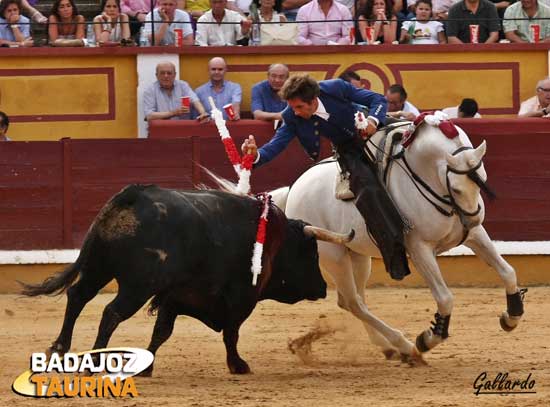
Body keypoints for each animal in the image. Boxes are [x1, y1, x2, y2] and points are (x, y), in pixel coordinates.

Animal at [22, 185, 354, 376]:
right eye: (311, 253)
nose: (323, 288)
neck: (274, 239)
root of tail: (130, 197)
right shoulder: (240, 300)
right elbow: (231, 334)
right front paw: (238, 366)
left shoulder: (175, 297)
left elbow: (162, 332)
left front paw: (147, 366)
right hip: (137, 285)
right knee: (111, 312)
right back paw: (92, 363)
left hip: (98, 268)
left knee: (78, 296)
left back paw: (59, 348)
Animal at [274, 116, 528, 364]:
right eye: (456, 189)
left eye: (482, 179)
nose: (473, 219)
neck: (425, 174)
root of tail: (294, 189)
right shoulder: (419, 248)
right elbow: (445, 298)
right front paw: (427, 339)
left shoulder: (475, 235)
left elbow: (508, 271)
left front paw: (511, 317)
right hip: (333, 256)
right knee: (354, 302)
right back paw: (405, 346)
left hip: (357, 255)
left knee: (352, 300)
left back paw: (389, 347)